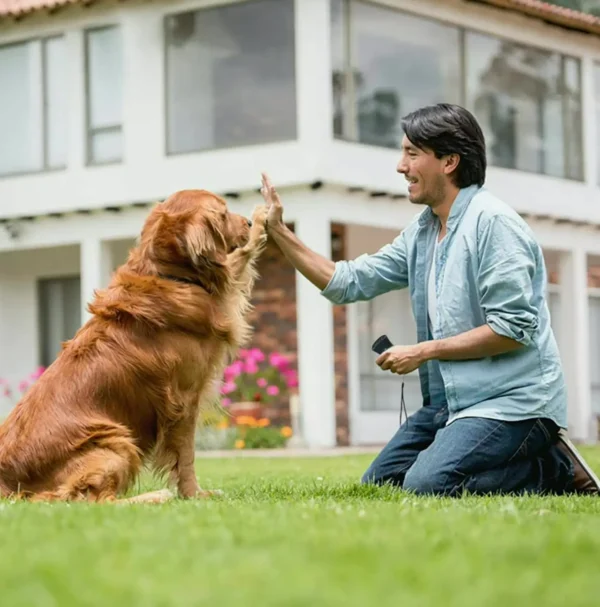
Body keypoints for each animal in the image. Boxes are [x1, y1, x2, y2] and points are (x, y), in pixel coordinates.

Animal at [0, 190, 268, 504]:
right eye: (223, 214)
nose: (246, 222)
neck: (168, 275)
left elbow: (237, 259)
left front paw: (261, 221)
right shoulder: (183, 400)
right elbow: (186, 457)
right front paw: (194, 495)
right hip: (115, 441)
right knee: (96, 500)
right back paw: (157, 496)